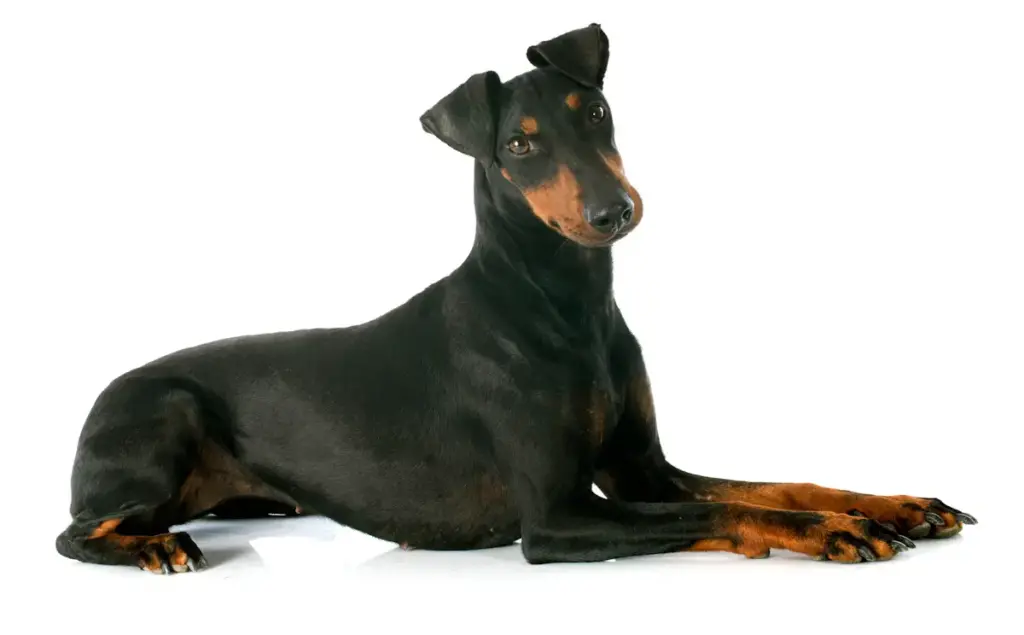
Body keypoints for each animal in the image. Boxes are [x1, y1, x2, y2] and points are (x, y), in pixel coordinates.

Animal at [54, 24, 974, 573]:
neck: (567, 304)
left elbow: (772, 484)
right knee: (74, 531)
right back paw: (156, 546)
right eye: (519, 146)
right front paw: (831, 531)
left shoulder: (645, 466)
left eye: (594, 108)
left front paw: (895, 504)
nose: (613, 213)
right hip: (163, 415)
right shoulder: (560, 518)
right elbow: (726, 510)